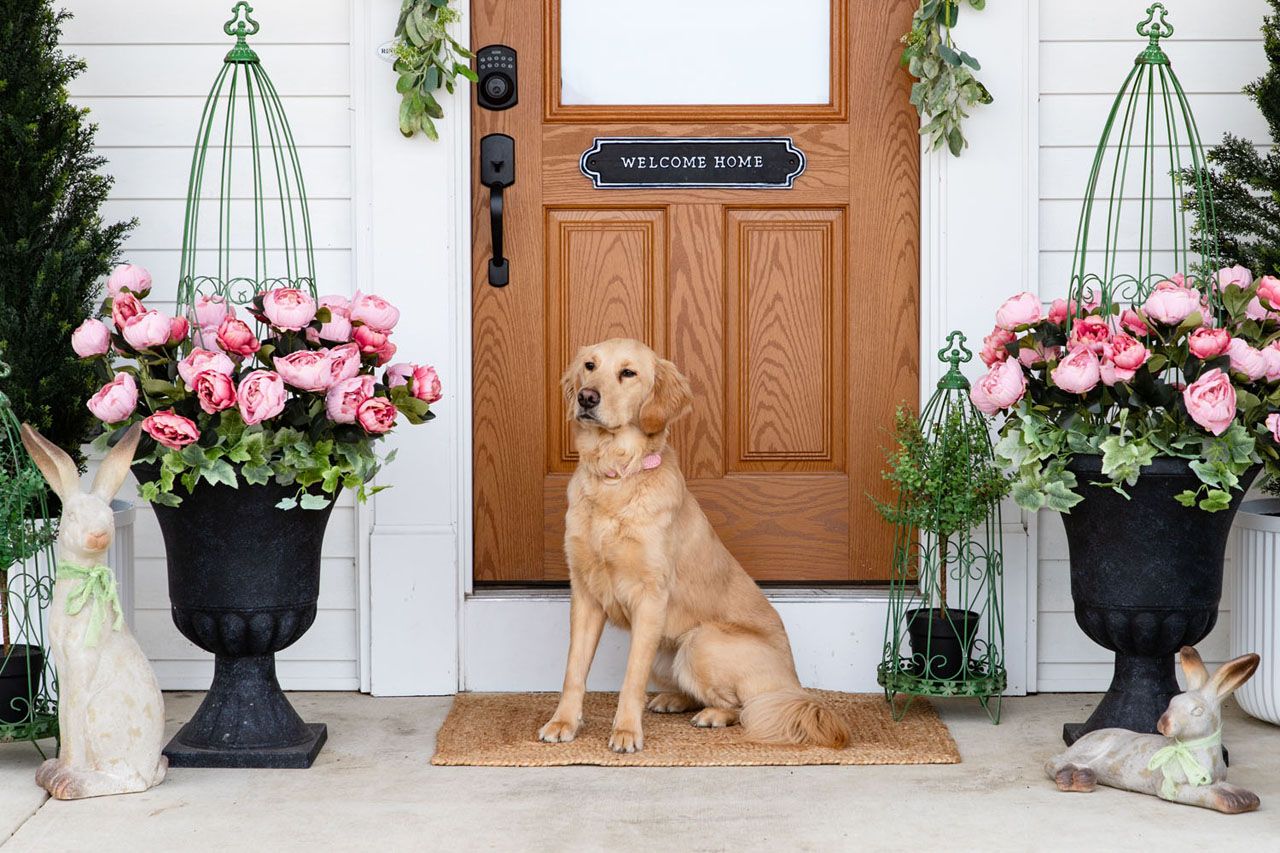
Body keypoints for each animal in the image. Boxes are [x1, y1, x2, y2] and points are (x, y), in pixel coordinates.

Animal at [540, 338, 849, 753]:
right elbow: (573, 670)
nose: (587, 397)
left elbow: (632, 677)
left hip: (700, 641)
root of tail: (796, 685)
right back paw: (674, 699)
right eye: (590, 366)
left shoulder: (650, 597)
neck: (616, 477)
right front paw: (564, 722)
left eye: (628, 373)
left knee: (745, 707)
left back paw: (713, 715)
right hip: (668, 651)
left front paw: (626, 731)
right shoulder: (586, 594)